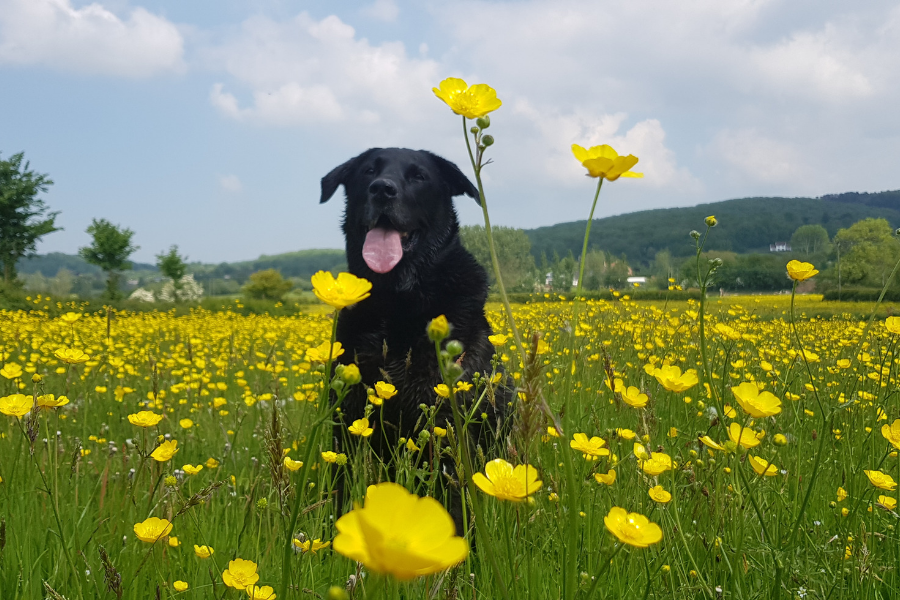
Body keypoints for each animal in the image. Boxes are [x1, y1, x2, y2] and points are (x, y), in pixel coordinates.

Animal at [320, 150, 510, 528]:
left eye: (419, 176)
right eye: (368, 171)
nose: (382, 189)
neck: (397, 302)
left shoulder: (446, 424)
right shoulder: (346, 419)